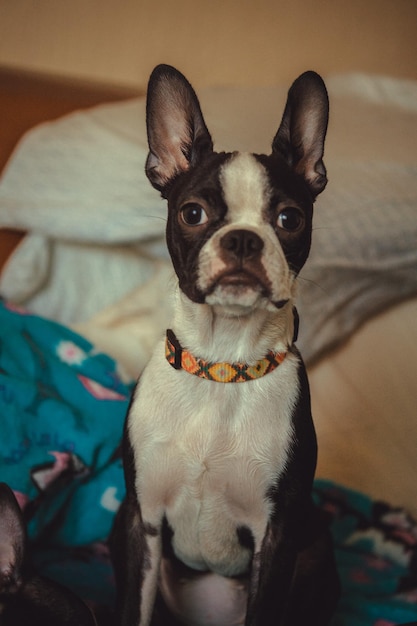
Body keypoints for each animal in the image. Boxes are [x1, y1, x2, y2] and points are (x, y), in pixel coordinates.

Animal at [112, 64, 340, 624]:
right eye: (192, 213)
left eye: (289, 219)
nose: (242, 238)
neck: (222, 366)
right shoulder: (140, 519)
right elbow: (133, 608)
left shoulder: (278, 538)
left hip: (316, 550)